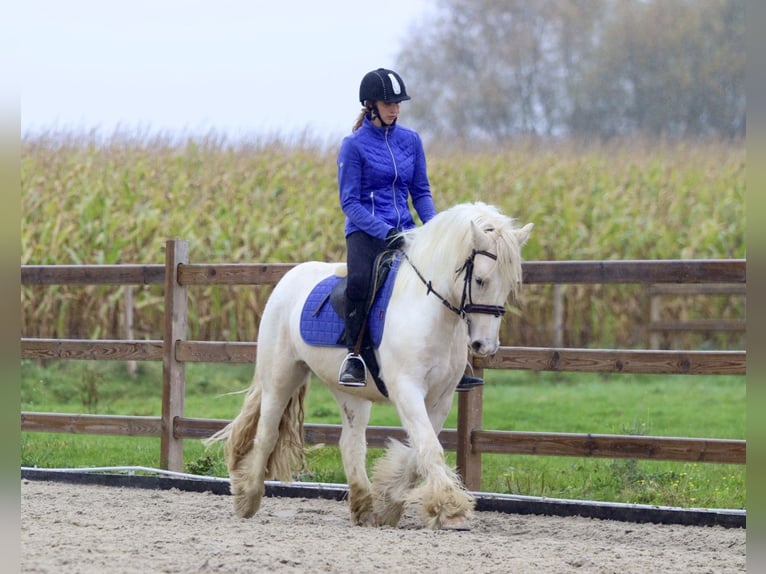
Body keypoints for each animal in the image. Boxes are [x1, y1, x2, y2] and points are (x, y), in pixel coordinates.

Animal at [204, 202, 536, 532]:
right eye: (480, 280)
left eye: (510, 285)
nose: (484, 346)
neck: (428, 312)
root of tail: (289, 278)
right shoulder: (407, 389)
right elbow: (429, 447)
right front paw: (450, 510)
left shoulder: (440, 398)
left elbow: (419, 450)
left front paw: (389, 501)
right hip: (282, 376)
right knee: (267, 434)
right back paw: (247, 499)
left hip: (351, 392)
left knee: (350, 443)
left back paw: (363, 507)